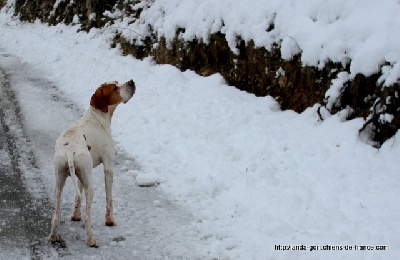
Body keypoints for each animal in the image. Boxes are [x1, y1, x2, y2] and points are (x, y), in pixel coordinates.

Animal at [48, 80, 136, 247]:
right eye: (115, 88)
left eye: (117, 82)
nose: (131, 82)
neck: (97, 116)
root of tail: (69, 150)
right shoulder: (108, 168)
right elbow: (109, 199)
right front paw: (110, 221)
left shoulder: (81, 175)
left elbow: (78, 198)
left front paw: (75, 215)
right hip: (91, 186)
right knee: (87, 217)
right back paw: (91, 240)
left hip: (60, 181)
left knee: (56, 214)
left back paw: (53, 236)